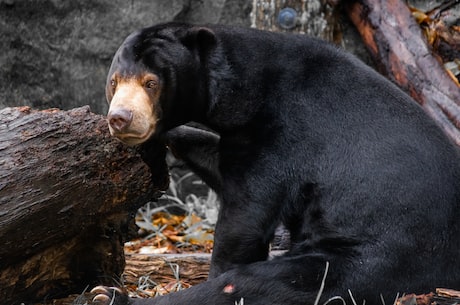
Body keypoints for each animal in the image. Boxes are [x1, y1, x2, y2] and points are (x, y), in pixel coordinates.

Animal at [92, 23, 460, 304]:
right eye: (115, 81)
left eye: (151, 83)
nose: (120, 118)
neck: (244, 89)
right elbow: (216, 159)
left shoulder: (283, 132)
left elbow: (246, 214)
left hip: (376, 257)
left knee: (258, 282)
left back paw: (108, 295)